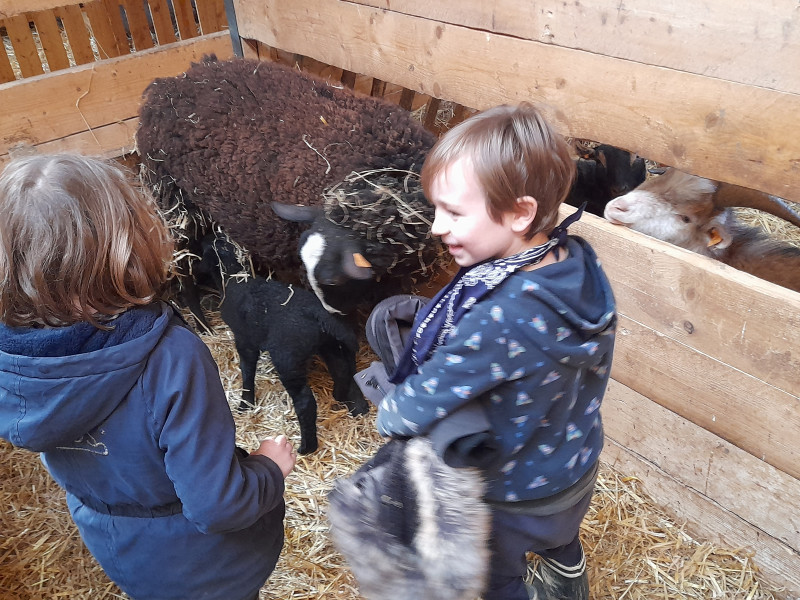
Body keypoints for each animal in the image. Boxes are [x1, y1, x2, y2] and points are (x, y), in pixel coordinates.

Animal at [134, 56, 440, 316]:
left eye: (333, 280)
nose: (331, 312)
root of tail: (172, 82)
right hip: (172, 198)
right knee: (181, 260)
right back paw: (200, 320)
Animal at [195, 232, 370, 452]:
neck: (235, 277)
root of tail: (316, 312)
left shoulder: (244, 338)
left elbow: (247, 369)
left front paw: (245, 403)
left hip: (288, 357)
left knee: (305, 401)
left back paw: (306, 447)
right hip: (327, 344)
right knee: (341, 370)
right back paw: (340, 397)